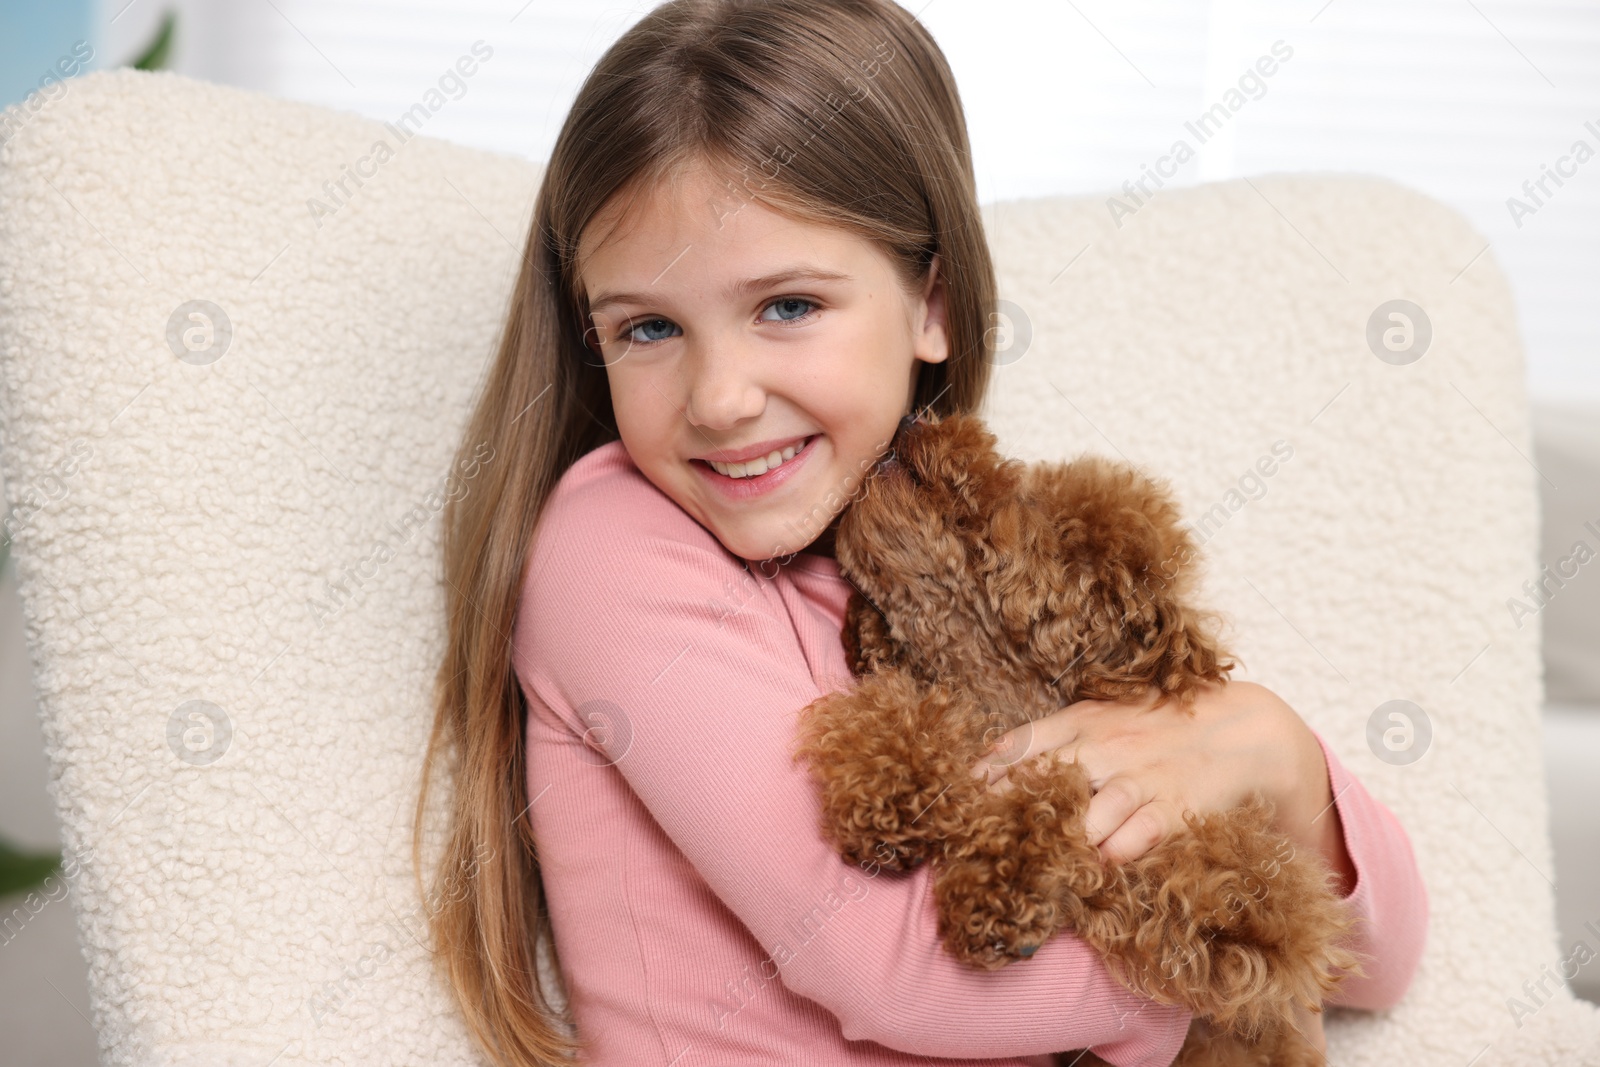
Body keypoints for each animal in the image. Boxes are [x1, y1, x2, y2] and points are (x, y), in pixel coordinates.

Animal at [790, 412, 1363, 1067]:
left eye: (1026, 499)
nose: (916, 419)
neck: (998, 701)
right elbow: (893, 717)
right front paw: (891, 799)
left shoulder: (1247, 910)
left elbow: (1064, 800)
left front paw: (1000, 886)